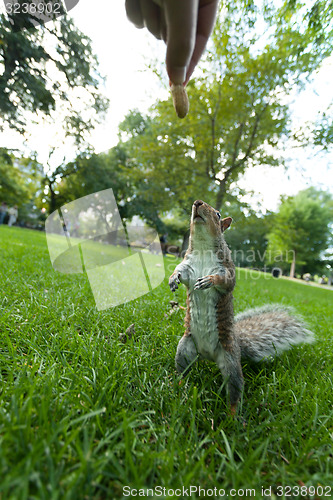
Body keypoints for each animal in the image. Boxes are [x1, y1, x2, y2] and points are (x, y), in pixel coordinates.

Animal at [169, 198, 314, 414]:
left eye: (218, 214)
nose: (197, 202)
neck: (203, 247)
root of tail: (207, 354)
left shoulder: (227, 269)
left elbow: (226, 282)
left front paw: (210, 281)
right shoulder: (187, 267)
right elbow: (179, 272)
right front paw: (172, 279)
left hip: (230, 363)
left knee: (235, 390)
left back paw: (233, 414)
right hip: (185, 349)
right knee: (182, 371)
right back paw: (178, 387)